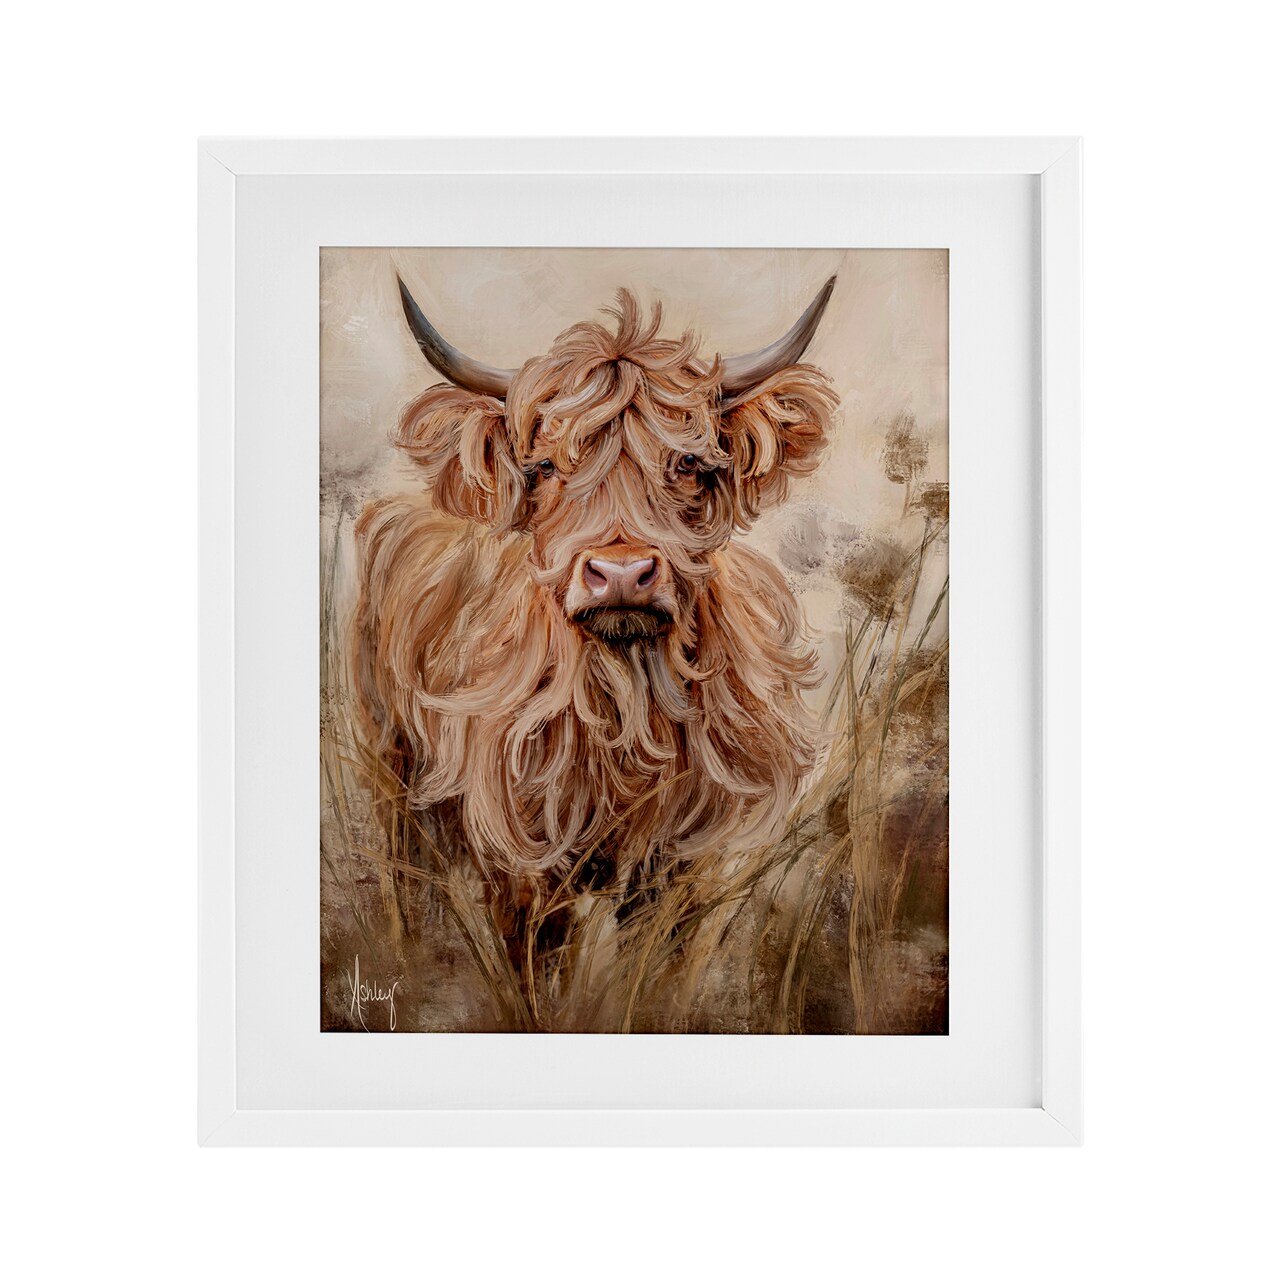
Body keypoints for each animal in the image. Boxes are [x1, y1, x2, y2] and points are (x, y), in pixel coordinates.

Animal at [352, 275, 840, 950]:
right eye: (544, 466)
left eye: (688, 462)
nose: (621, 575)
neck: (625, 712)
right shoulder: (521, 867)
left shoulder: (678, 864)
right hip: (390, 771)